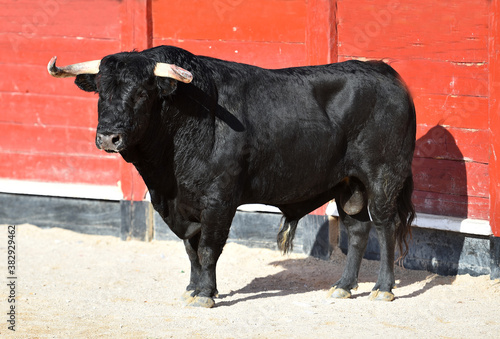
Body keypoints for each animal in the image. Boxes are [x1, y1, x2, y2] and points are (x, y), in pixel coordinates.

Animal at [47, 45, 414, 308]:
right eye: (100, 92)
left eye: (141, 93)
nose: (108, 138)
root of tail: (389, 75)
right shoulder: (179, 203)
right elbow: (191, 249)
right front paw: (192, 288)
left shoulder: (218, 200)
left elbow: (209, 248)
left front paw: (205, 294)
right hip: (348, 184)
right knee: (357, 230)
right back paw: (343, 286)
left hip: (383, 176)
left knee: (386, 226)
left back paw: (383, 288)